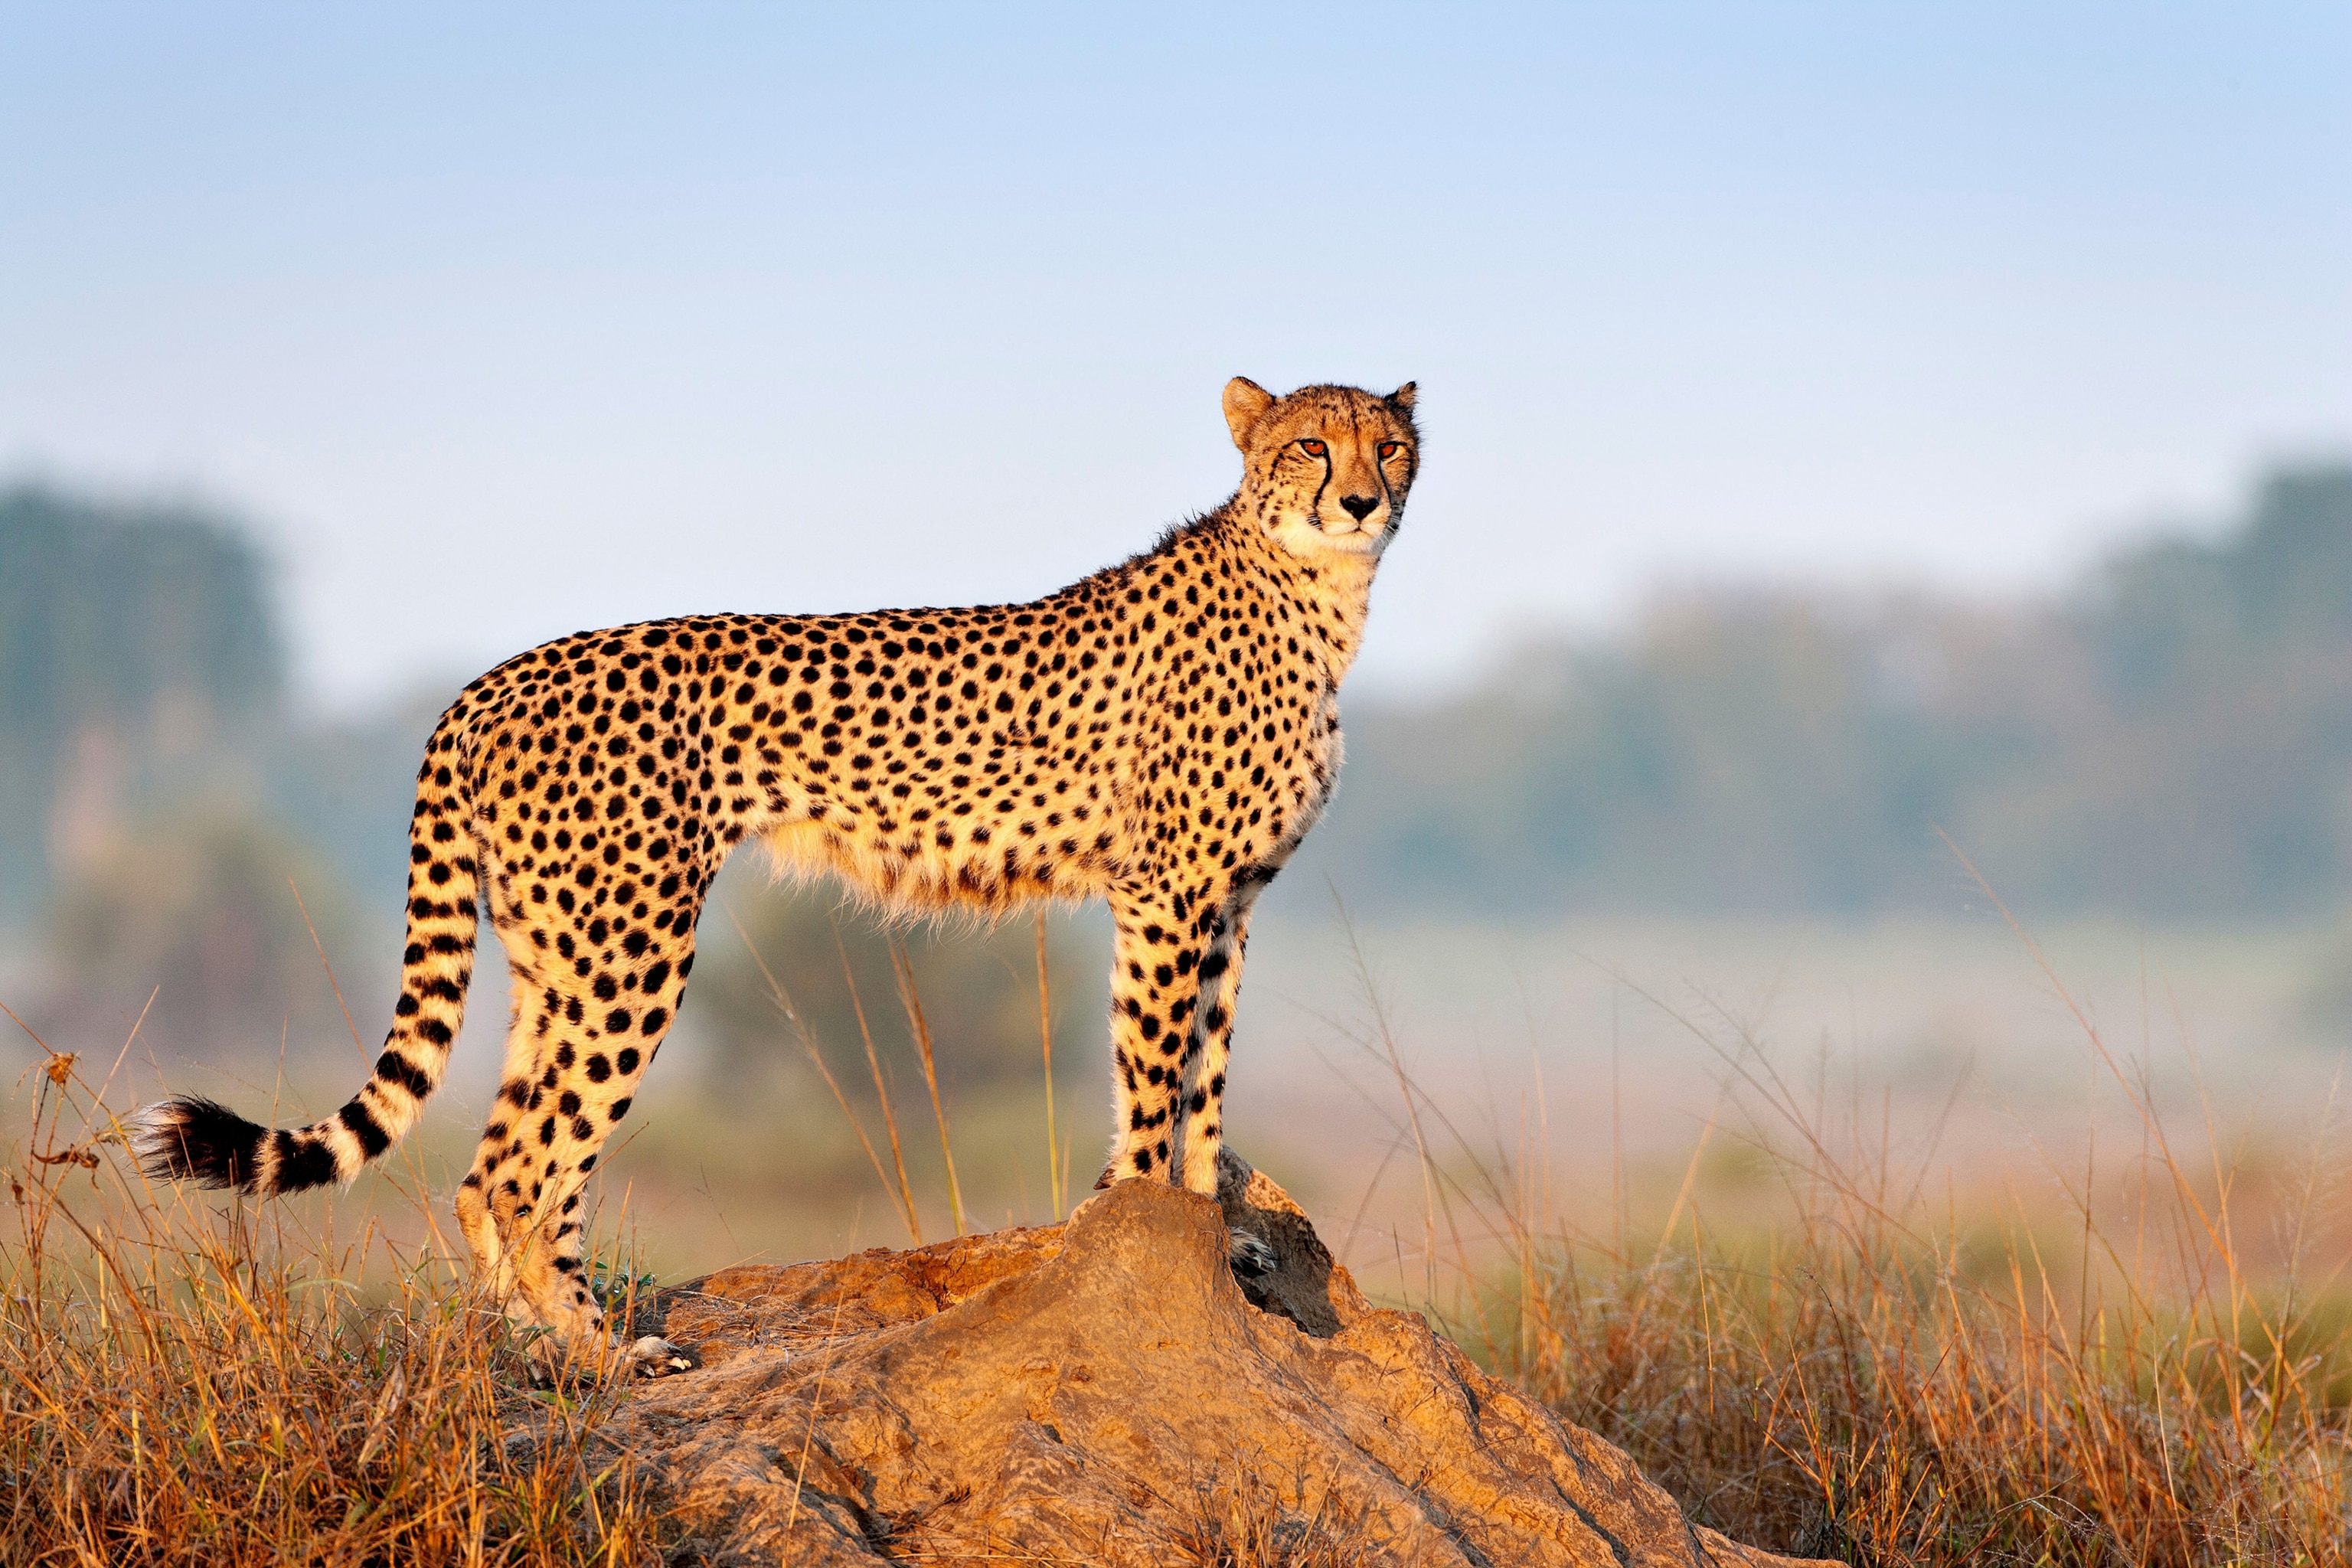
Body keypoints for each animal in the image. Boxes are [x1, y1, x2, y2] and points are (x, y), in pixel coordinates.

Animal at [133, 375, 1421, 1374]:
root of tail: (491, 680)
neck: (1312, 592)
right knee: (523, 1171)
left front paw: (1217, 1236)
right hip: (632, 954)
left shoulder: (1228, 904)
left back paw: (536, 1345)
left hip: (558, 962)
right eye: (1311, 444)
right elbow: (1153, 1078)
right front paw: (1152, 1242)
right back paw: (601, 1358)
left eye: (1391, 445)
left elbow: (1206, 1074)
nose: (1362, 499)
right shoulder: (1166, 894)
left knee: (492, 1165)